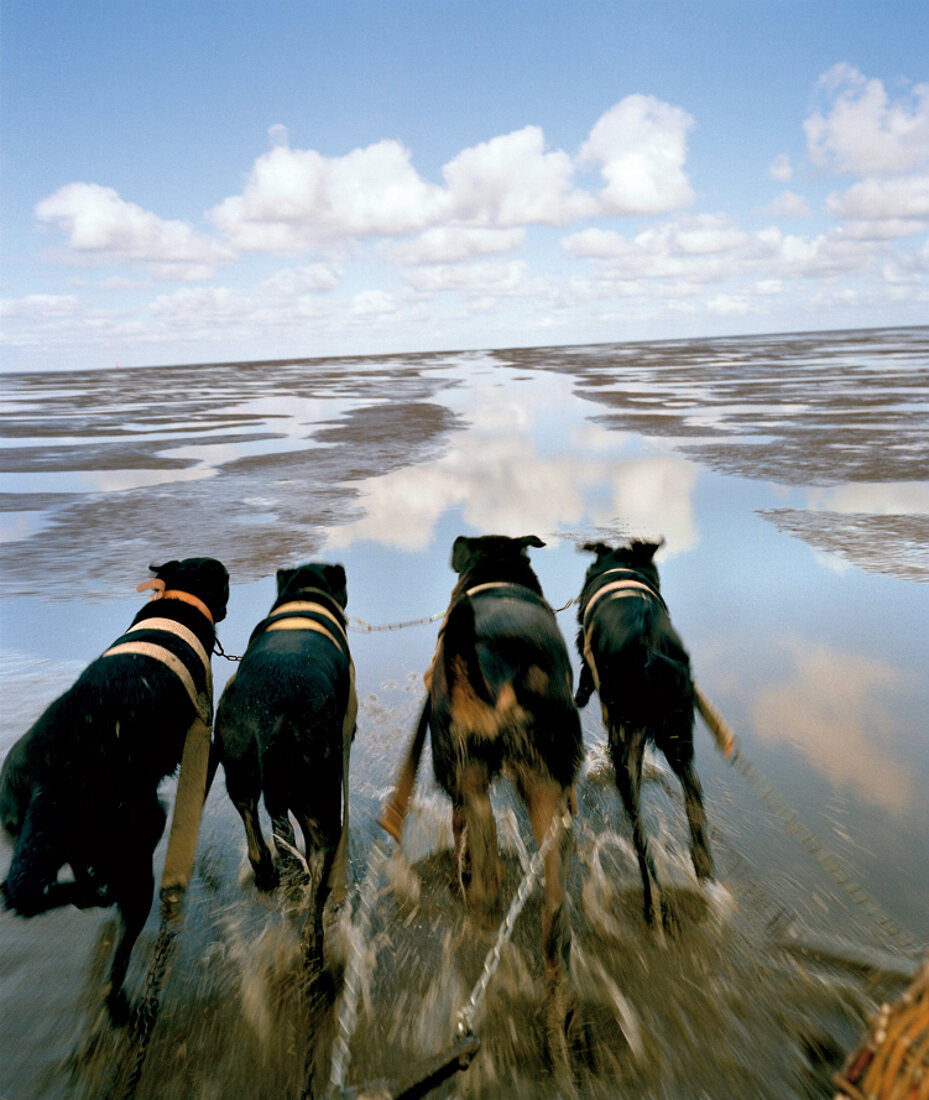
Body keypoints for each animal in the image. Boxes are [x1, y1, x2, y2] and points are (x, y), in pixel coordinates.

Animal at [0, 558, 229, 1020]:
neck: (180, 598)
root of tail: (50, 779)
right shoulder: (204, 736)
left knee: (38, 888)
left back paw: (90, 894)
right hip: (141, 836)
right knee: (118, 951)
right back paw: (122, 1001)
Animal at [214, 563, 356, 968]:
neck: (304, 596)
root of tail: (272, 716)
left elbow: (278, 824)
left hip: (238, 764)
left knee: (254, 826)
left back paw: (267, 871)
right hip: (321, 795)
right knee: (321, 868)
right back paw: (313, 944)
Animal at [426, 532, 584, 1056]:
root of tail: (499, 670)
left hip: (466, 765)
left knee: (481, 832)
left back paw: (478, 895)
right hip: (544, 777)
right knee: (555, 911)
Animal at [576, 541, 712, 928]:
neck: (622, 569)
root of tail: (647, 644)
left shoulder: (585, 653)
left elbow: (584, 675)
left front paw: (579, 697)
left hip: (630, 742)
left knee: (639, 835)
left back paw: (654, 903)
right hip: (678, 733)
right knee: (693, 791)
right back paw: (701, 860)